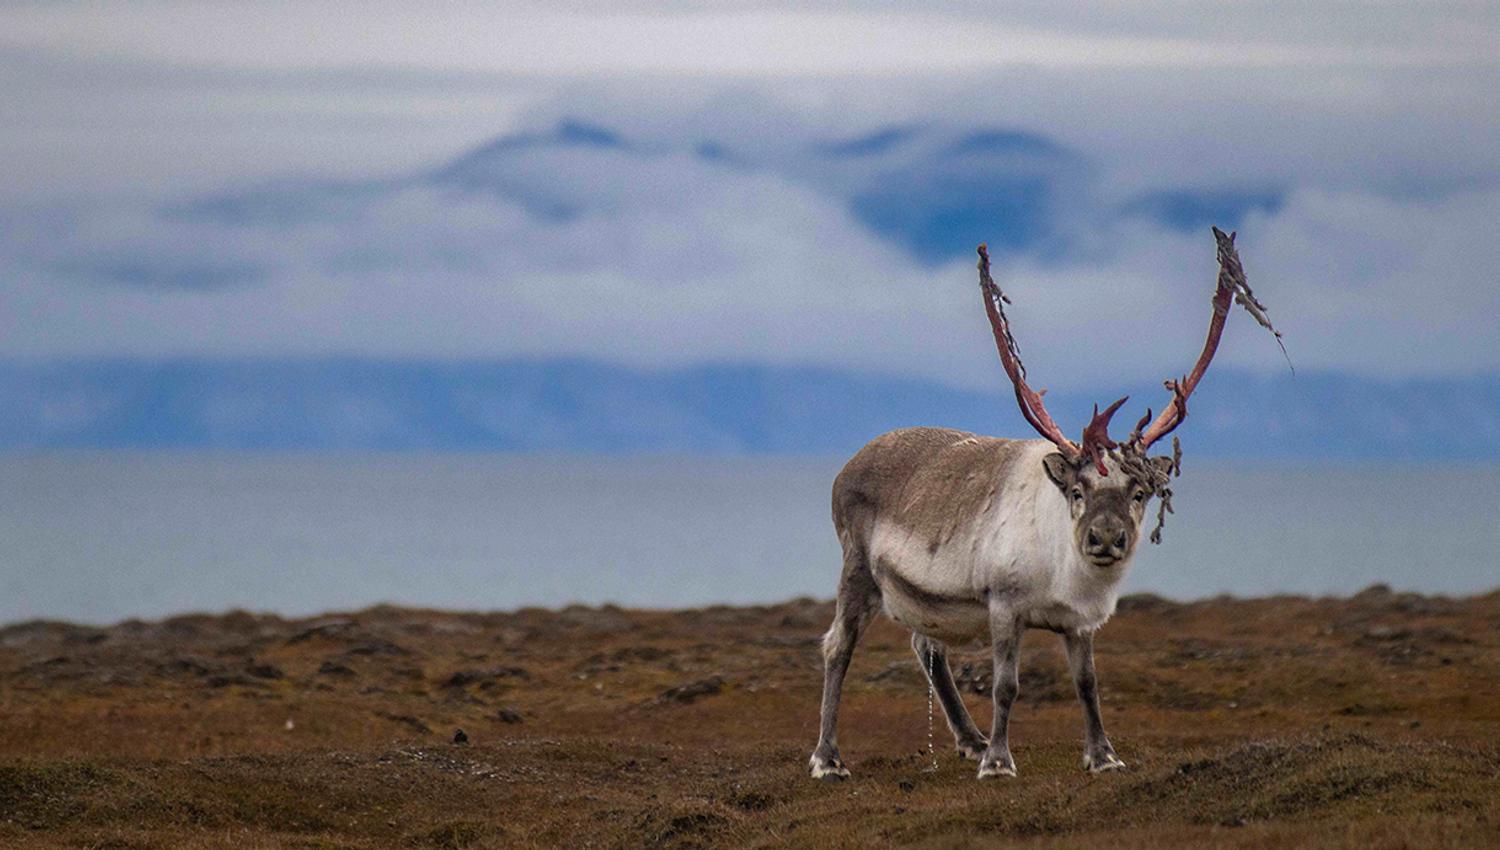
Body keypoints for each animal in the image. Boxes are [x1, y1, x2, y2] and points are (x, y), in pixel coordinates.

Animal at [809, 227, 1283, 781]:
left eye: (1139, 492)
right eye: (1077, 491)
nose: (1105, 539)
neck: (1064, 575)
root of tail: (846, 467)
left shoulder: (1080, 622)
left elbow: (1088, 685)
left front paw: (1103, 756)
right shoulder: (1003, 605)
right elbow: (1005, 685)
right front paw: (998, 762)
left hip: (926, 600)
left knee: (926, 647)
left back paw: (968, 739)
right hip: (857, 568)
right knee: (837, 645)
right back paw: (829, 758)